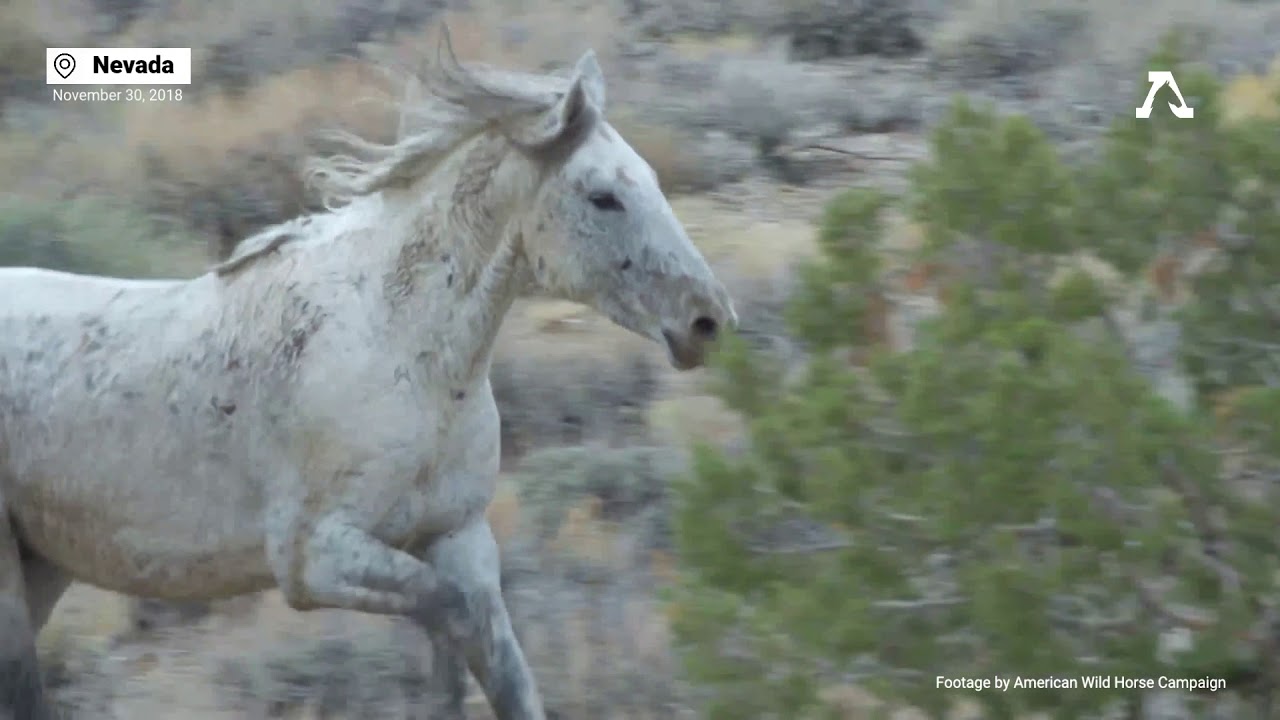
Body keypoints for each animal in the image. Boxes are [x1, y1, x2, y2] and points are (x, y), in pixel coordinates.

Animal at [0, 28, 736, 720]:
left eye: (651, 178)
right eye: (603, 196)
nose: (708, 320)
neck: (401, 349)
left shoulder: (458, 539)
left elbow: (502, 673)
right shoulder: (313, 558)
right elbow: (448, 618)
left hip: (43, 569)